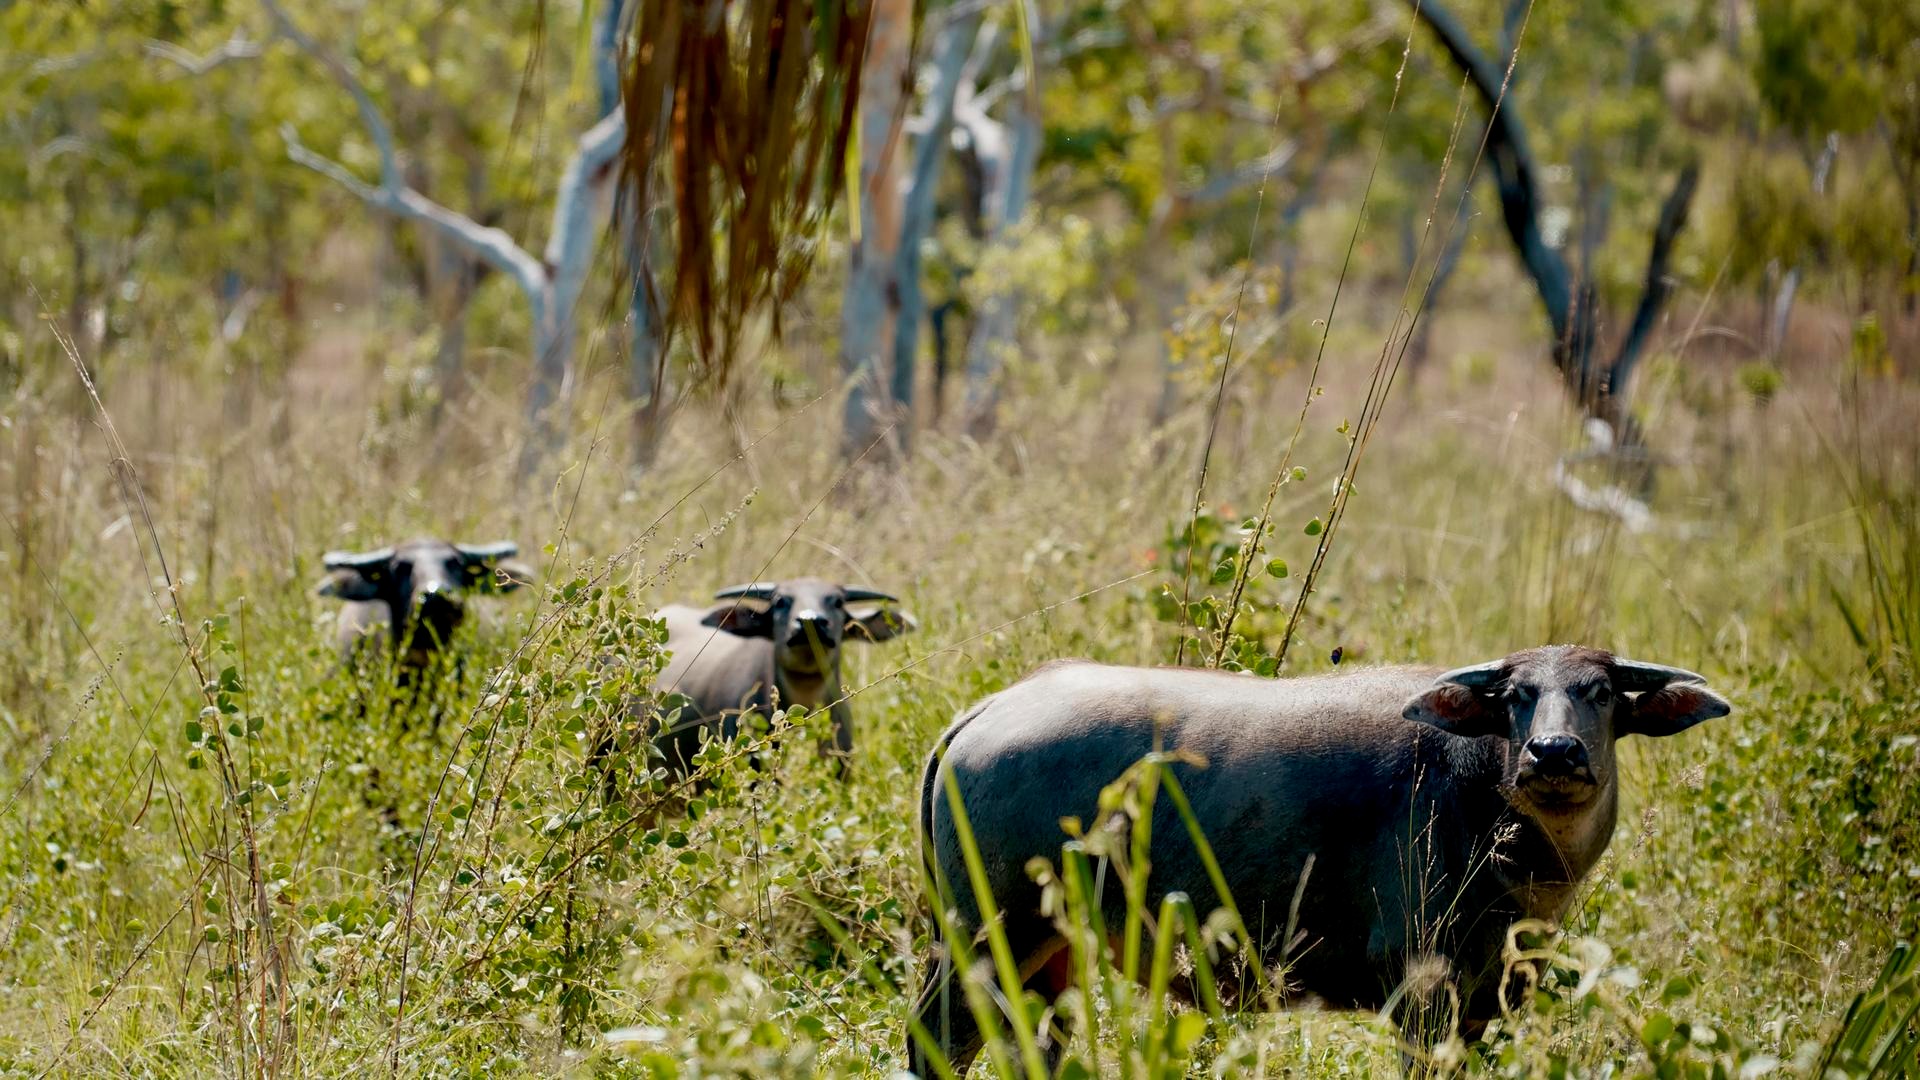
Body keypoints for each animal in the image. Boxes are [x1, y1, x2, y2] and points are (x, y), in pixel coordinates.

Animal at [910, 645, 1730, 1072]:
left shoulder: (1492, 1003)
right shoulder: (1421, 991)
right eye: (1516, 695)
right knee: (939, 1040)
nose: (1553, 752)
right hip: (983, 938)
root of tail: (985, 712)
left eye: (1601, 693)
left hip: (1047, 952)